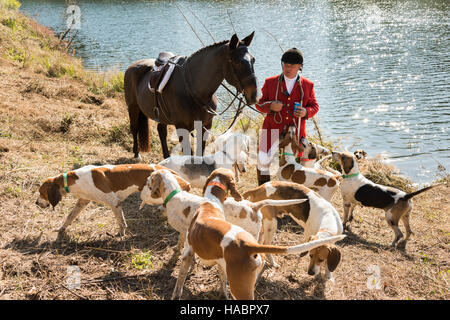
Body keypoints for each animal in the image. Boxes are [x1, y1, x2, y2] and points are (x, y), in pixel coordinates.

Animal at [124, 31, 256, 159]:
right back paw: (136, 153)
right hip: (133, 107)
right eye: (238, 62)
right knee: (134, 128)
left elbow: (200, 152)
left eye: (253, 60)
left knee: (161, 131)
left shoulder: (206, 125)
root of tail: (132, 66)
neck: (195, 91)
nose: (254, 95)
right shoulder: (182, 127)